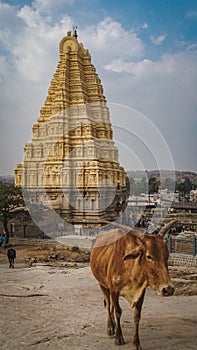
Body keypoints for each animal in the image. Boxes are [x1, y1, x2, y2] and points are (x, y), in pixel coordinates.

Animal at [89, 221, 175, 350]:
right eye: (149, 256)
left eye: (167, 255)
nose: (168, 289)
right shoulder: (114, 290)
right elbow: (118, 312)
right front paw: (119, 337)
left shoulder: (141, 292)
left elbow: (136, 316)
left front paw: (136, 343)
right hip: (102, 284)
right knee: (109, 304)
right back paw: (110, 327)